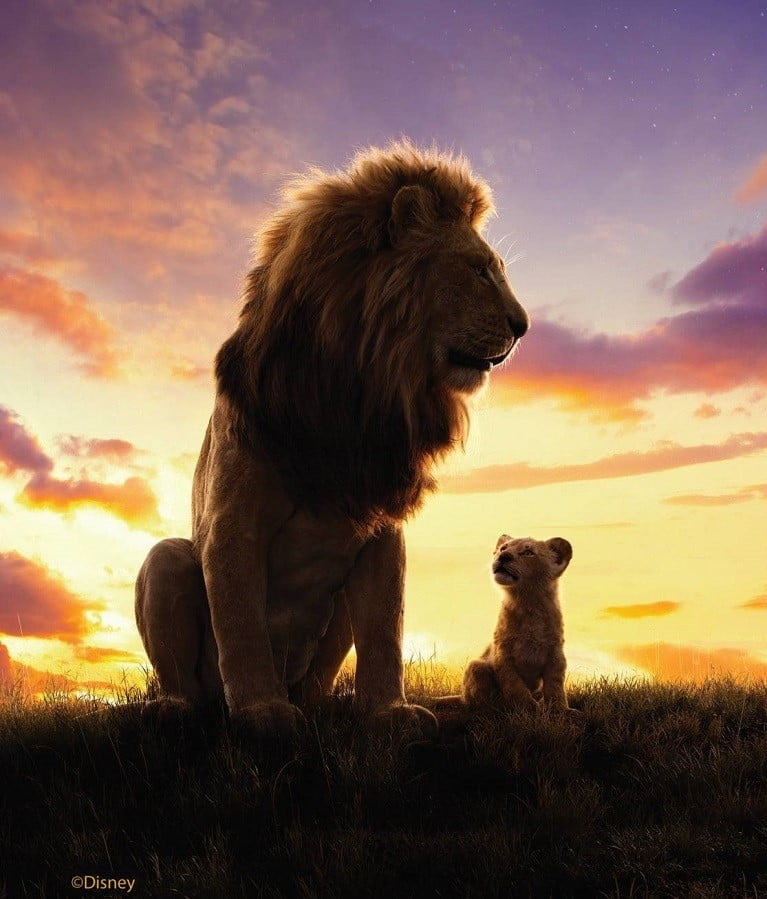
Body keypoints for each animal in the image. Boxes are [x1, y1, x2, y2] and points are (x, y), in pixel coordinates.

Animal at [135, 140, 529, 742]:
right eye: (479, 270)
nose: (523, 325)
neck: (358, 393)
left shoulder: (381, 526)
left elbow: (385, 630)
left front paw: (388, 712)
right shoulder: (233, 524)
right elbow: (241, 627)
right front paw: (262, 711)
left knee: (320, 679)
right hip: (168, 560)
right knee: (189, 674)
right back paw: (180, 707)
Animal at [462, 535, 573, 711]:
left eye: (528, 552)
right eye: (503, 548)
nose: (503, 556)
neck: (528, 604)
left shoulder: (555, 652)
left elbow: (555, 683)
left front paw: (559, 708)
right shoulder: (502, 653)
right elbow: (514, 684)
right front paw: (527, 708)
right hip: (476, 666)